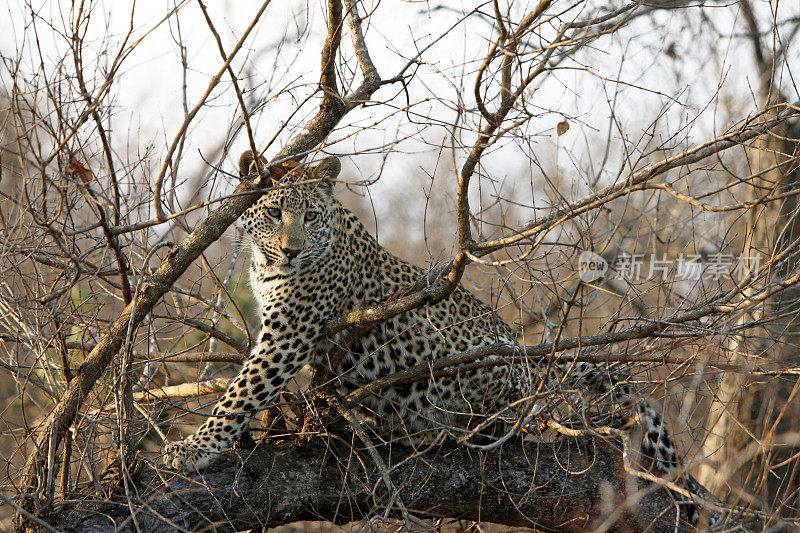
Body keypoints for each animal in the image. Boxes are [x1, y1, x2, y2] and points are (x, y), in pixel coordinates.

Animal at [162, 152, 712, 520]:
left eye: (310, 216)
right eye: (275, 213)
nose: (292, 250)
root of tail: (525, 358)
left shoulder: (288, 333)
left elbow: (240, 393)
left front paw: (193, 448)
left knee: (489, 424)